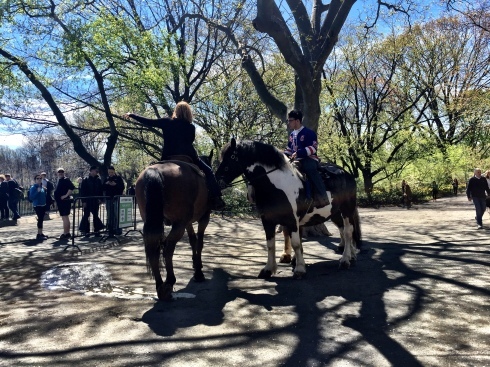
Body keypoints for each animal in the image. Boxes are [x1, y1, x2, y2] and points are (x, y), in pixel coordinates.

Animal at [135, 161, 210, 302]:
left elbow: (193, 240)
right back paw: (169, 281)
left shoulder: (188, 222)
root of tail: (155, 171)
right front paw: (198, 271)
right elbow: (199, 243)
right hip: (179, 223)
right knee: (168, 247)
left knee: (154, 249)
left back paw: (160, 284)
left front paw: (195, 263)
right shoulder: (203, 218)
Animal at [216, 138, 362, 278]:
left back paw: (345, 260)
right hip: (335, 213)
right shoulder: (267, 221)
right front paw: (268, 269)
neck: (277, 186)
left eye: (231, 156)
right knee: (343, 229)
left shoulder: (292, 220)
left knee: (348, 231)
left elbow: (296, 243)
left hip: (347, 209)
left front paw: (299, 269)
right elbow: (270, 245)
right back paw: (351, 255)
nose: (218, 180)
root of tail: (347, 174)